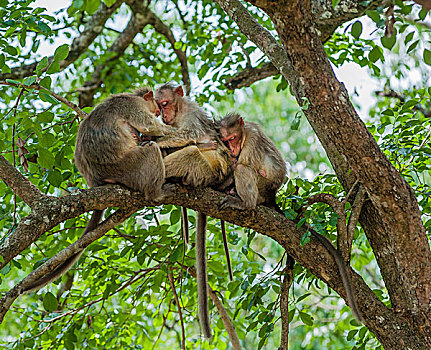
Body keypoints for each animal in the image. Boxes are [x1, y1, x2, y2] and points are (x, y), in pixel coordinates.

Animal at [21, 87, 177, 292]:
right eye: (157, 108)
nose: (159, 113)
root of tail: (95, 181)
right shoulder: (132, 106)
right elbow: (150, 127)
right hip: (129, 167)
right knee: (150, 150)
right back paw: (157, 192)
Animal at [155, 83, 233, 338]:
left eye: (165, 104)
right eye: (158, 106)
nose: (163, 116)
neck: (179, 111)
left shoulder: (191, 114)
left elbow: (189, 134)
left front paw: (154, 140)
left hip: (207, 170)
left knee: (191, 153)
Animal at [218, 113, 362, 322]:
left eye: (233, 138)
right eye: (227, 141)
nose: (233, 148)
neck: (243, 135)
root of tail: (271, 196)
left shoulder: (252, 138)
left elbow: (241, 163)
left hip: (262, 187)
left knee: (243, 169)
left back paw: (245, 202)